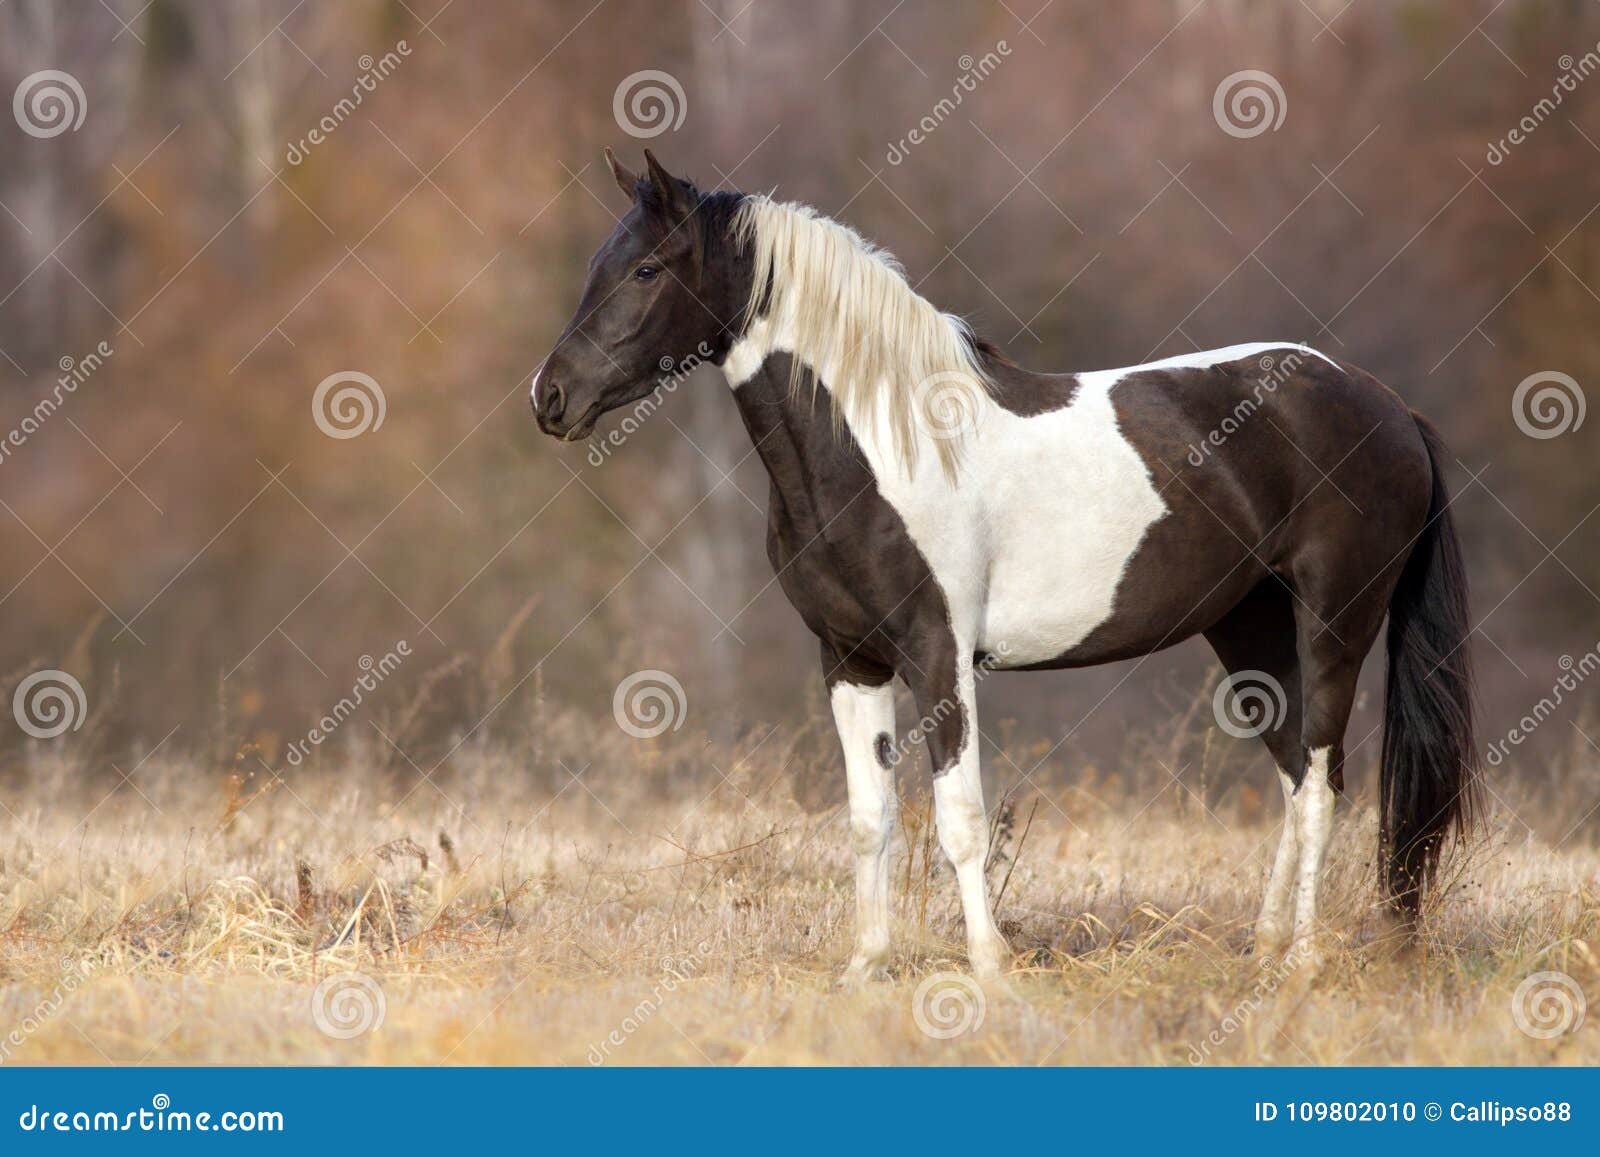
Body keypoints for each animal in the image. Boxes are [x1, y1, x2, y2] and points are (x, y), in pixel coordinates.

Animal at [532, 149, 1478, 983]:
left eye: (647, 269)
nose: (550, 398)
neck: (883, 441)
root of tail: (1388, 407)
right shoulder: (849, 658)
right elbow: (870, 816)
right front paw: (866, 966)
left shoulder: (937, 653)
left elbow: (958, 817)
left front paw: (989, 970)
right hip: (1249, 628)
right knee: (1294, 775)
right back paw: (1267, 950)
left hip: (1334, 623)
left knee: (1321, 781)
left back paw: (1305, 964)